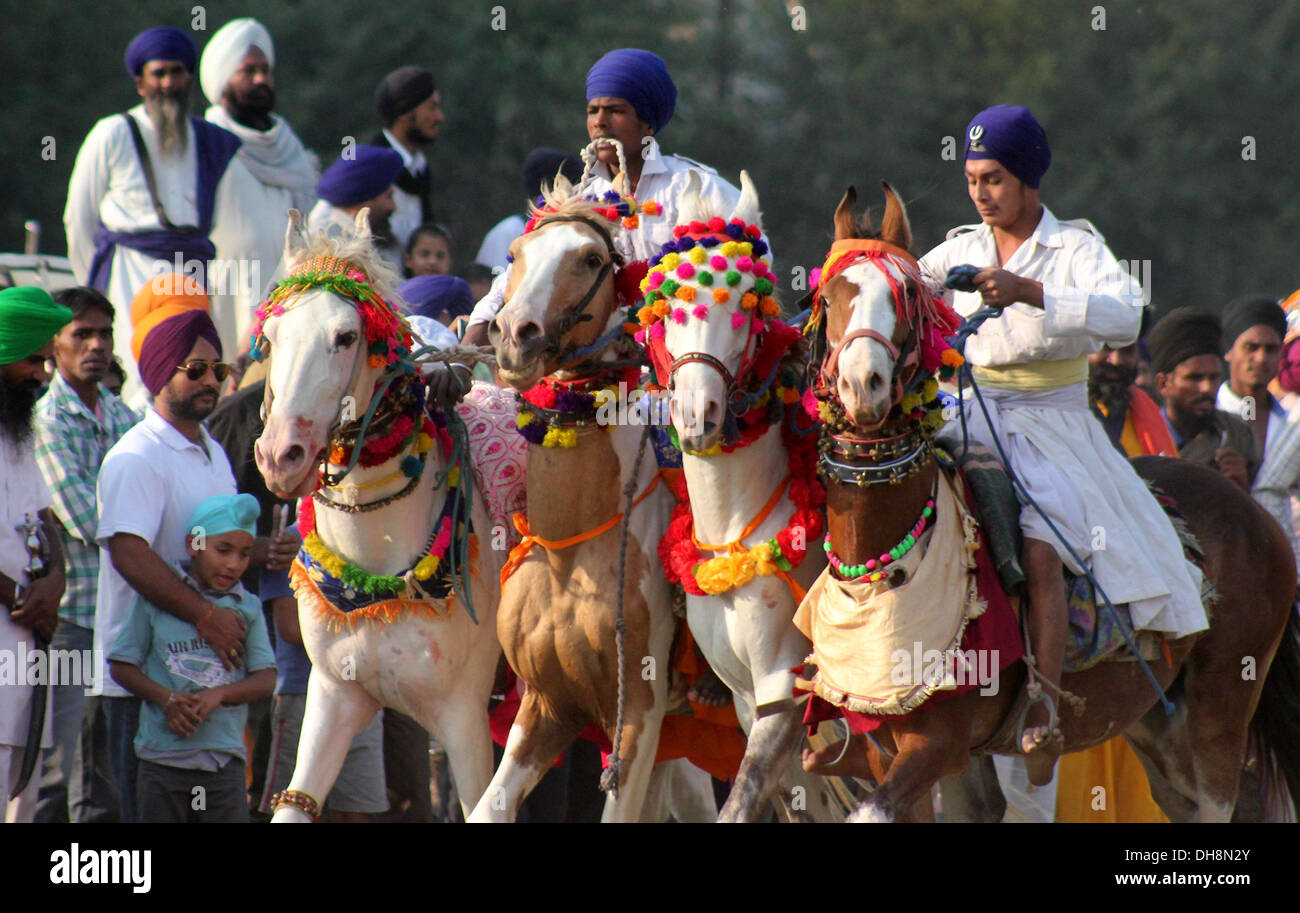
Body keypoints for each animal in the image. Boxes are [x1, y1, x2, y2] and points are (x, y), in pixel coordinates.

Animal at [252, 213, 501, 821]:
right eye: (272, 339)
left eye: (346, 337)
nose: (281, 456)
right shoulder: (335, 695)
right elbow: (295, 801)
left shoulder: (465, 719)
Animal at [634, 170, 847, 821]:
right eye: (668, 308)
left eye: (747, 305)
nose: (697, 415)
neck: (735, 531)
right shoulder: (748, 698)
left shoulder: (787, 682)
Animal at [800, 182, 1300, 827]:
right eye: (827, 297)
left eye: (907, 295)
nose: (864, 384)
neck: (888, 563)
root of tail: (1254, 513)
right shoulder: (896, 749)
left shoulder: (938, 744)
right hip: (1156, 723)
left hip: (1224, 696)